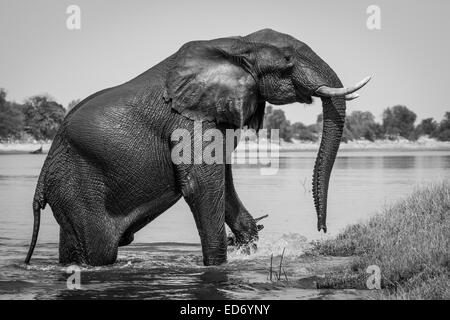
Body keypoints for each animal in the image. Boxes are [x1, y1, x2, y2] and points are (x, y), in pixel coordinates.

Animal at [24, 28, 370, 266]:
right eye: (288, 60)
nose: (322, 228)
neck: (241, 43)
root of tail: (43, 176)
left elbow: (223, 182)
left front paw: (247, 247)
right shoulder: (189, 121)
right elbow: (202, 185)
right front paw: (218, 265)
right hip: (81, 189)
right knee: (98, 251)